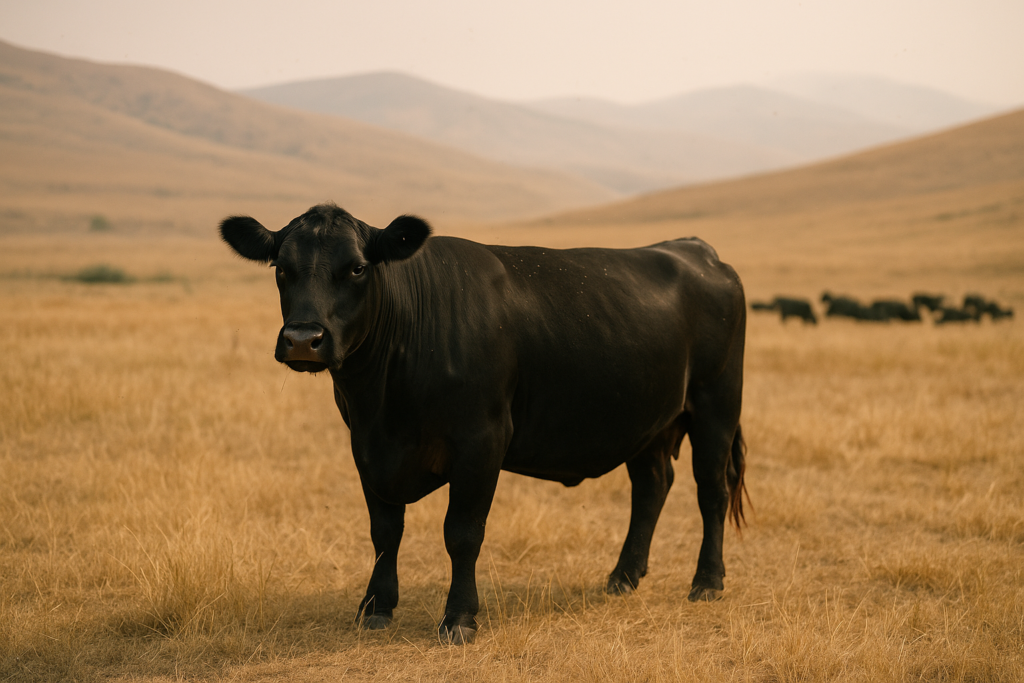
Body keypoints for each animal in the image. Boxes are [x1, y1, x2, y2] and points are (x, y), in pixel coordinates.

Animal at [219, 203, 748, 644]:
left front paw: (459, 618)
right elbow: (384, 531)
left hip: (716, 404)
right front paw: (375, 607)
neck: (384, 400)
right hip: (649, 421)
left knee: (711, 489)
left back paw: (707, 581)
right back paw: (623, 576)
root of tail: (696, 249)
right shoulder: (367, 447)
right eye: (280, 268)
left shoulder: (482, 441)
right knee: (652, 486)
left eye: (357, 267)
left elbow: (462, 532)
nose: (303, 339)